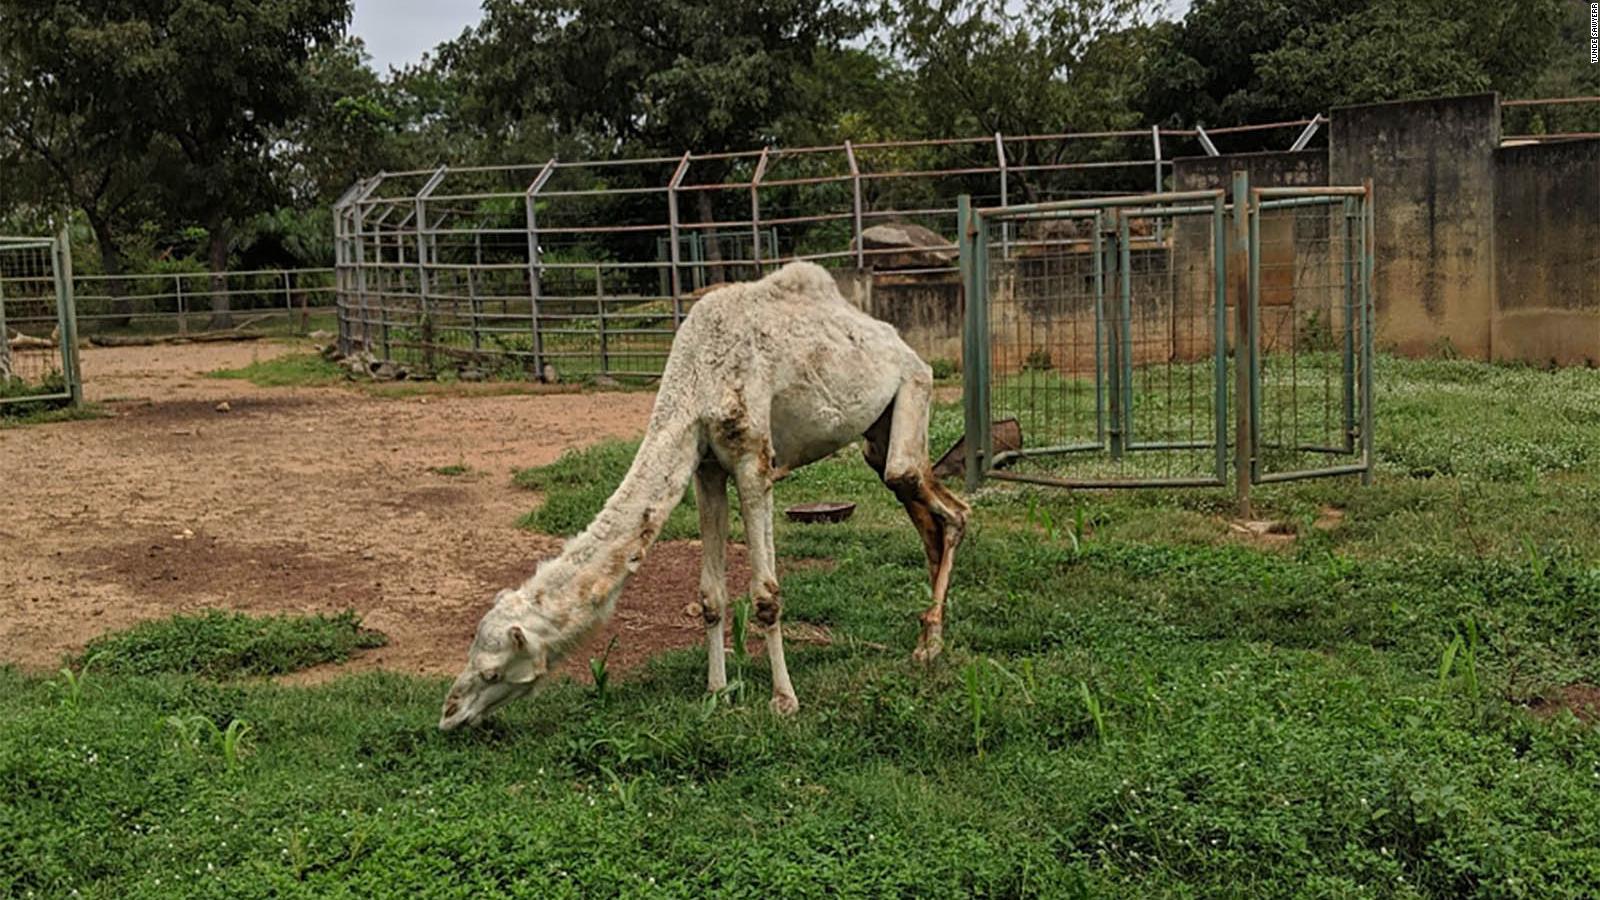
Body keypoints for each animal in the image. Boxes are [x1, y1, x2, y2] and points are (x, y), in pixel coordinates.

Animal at [438, 261, 966, 730]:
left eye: (492, 671)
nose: (449, 715)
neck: (696, 378)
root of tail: (903, 344)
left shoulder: (754, 461)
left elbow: (766, 595)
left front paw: (784, 700)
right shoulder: (707, 468)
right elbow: (711, 595)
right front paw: (717, 691)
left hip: (913, 388)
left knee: (947, 505)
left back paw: (930, 644)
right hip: (876, 436)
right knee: (923, 508)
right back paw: (928, 635)